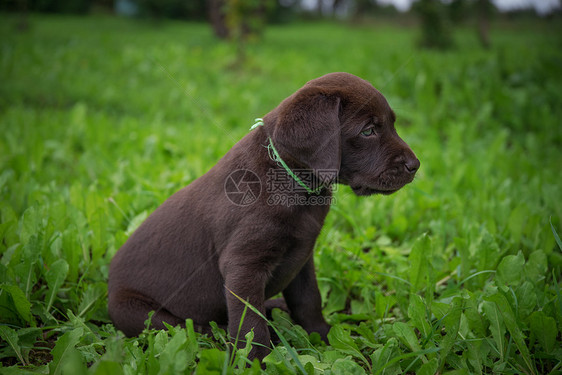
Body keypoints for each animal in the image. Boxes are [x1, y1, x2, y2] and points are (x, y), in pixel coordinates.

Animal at [107, 72, 418, 360]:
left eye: (392, 124)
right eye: (368, 131)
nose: (415, 165)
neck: (293, 181)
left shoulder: (303, 256)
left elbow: (308, 299)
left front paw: (323, 335)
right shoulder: (243, 266)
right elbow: (250, 325)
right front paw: (256, 361)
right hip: (138, 312)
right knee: (188, 326)